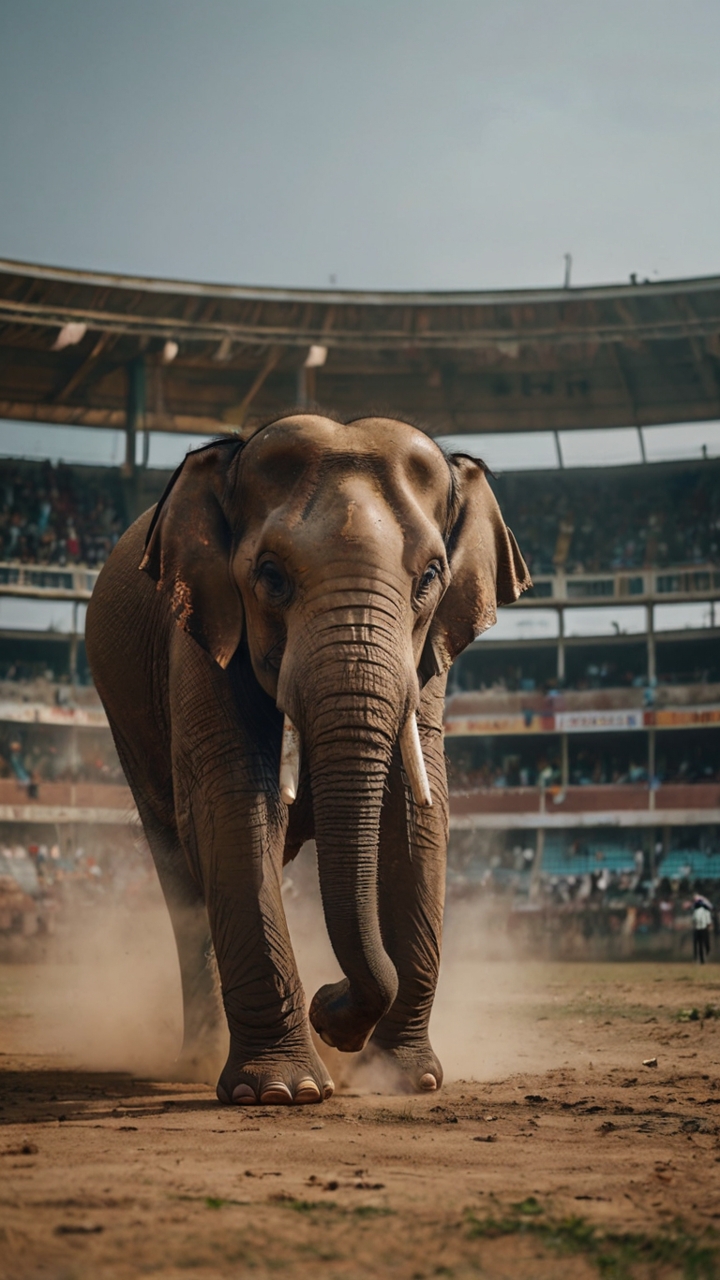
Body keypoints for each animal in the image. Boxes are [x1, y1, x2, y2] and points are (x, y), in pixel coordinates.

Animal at [86, 413, 529, 1107]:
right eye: (270, 576)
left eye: (430, 577)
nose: (328, 1001)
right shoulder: (203, 634)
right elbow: (231, 810)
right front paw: (280, 1092)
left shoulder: (427, 659)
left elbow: (416, 820)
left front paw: (404, 1080)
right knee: (182, 880)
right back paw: (194, 1061)